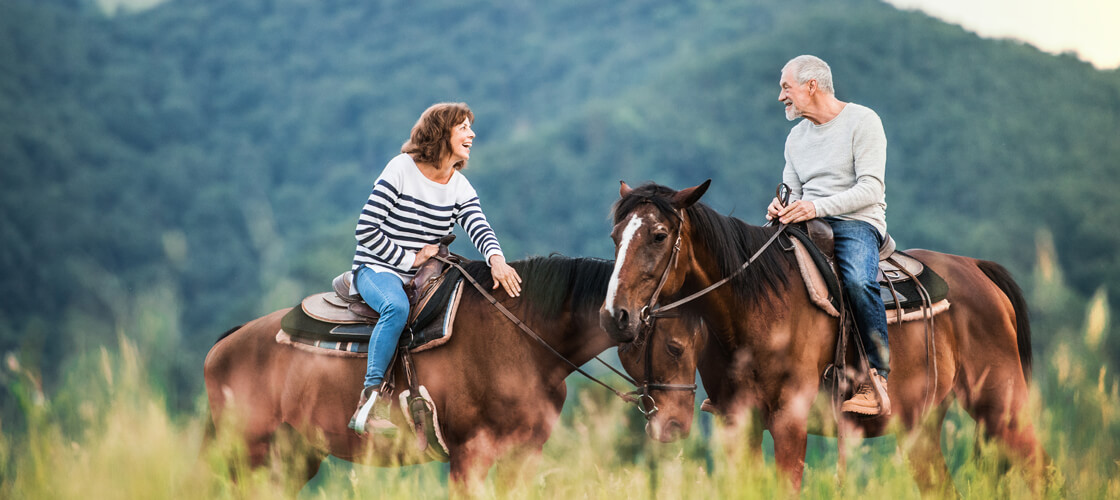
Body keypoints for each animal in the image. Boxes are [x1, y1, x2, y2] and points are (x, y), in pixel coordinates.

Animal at [203, 255, 663, 493]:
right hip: (250, 455)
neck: (525, 340)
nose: (671, 412)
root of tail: (223, 346)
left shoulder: (523, 456)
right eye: (670, 339)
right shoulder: (470, 455)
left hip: (293, 457)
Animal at [600, 179, 1043, 493]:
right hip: (921, 428)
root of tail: (976, 268)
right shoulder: (736, 423)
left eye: (659, 235)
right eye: (616, 236)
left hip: (1003, 408)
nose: (615, 315)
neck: (754, 308)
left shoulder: (789, 421)